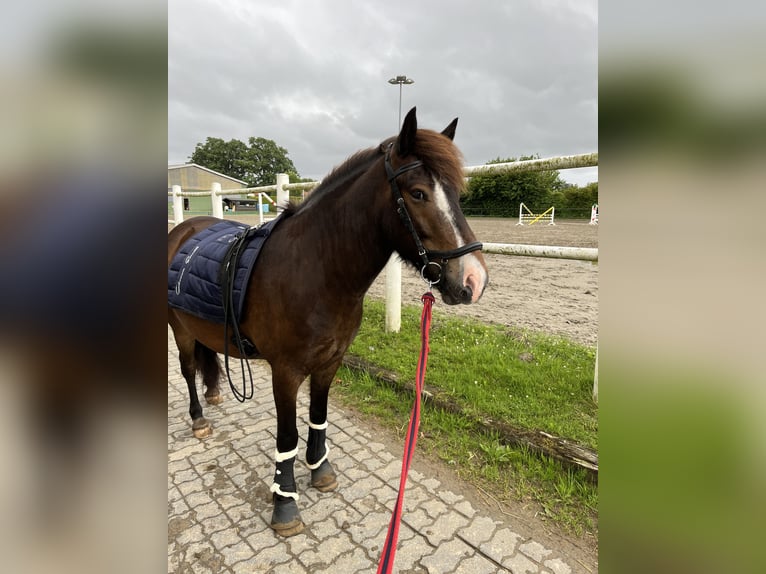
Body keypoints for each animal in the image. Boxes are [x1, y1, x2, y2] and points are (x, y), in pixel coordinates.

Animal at [170, 109, 492, 540]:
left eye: (457, 195)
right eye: (418, 193)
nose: (474, 280)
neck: (315, 271)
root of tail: (183, 229)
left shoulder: (330, 361)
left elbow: (319, 416)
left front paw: (320, 469)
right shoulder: (285, 371)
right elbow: (287, 434)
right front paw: (285, 503)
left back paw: (214, 393)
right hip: (179, 330)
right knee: (188, 369)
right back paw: (199, 419)